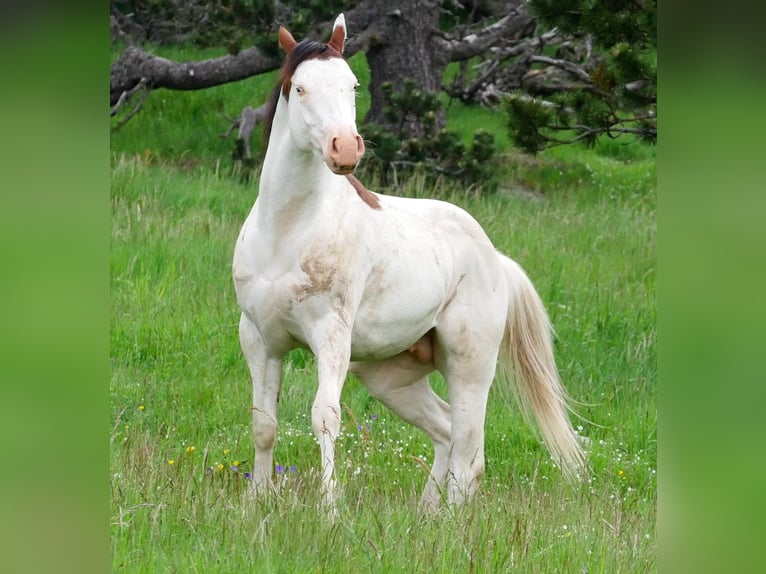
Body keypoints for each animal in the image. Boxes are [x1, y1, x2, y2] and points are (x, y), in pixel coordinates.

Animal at [231, 13, 584, 510]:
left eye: (353, 84)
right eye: (299, 87)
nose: (345, 148)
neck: (287, 232)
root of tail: (495, 259)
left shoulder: (330, 337)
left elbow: (325, 417)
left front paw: (330, 511)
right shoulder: (259, 339)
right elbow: (263, 423)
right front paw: (256, 503)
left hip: (470, 366)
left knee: (470, 453)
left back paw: (448, 520)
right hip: (390, 375)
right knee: (446, 432)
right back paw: (425, 514)